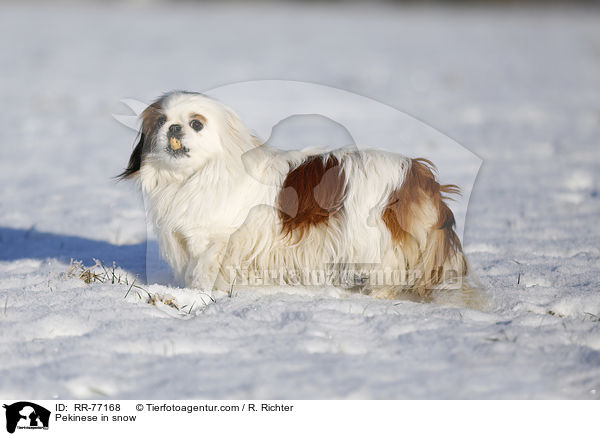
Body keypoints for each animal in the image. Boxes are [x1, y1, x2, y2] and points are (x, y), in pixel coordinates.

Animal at [120, 90, 478, 304]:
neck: (199, 173)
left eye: (196, 124)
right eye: (162, 121)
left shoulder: (212, 241)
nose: (174, 128)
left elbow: (203, 272)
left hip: (374, 241)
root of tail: (416, 172)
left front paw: (197, 297)